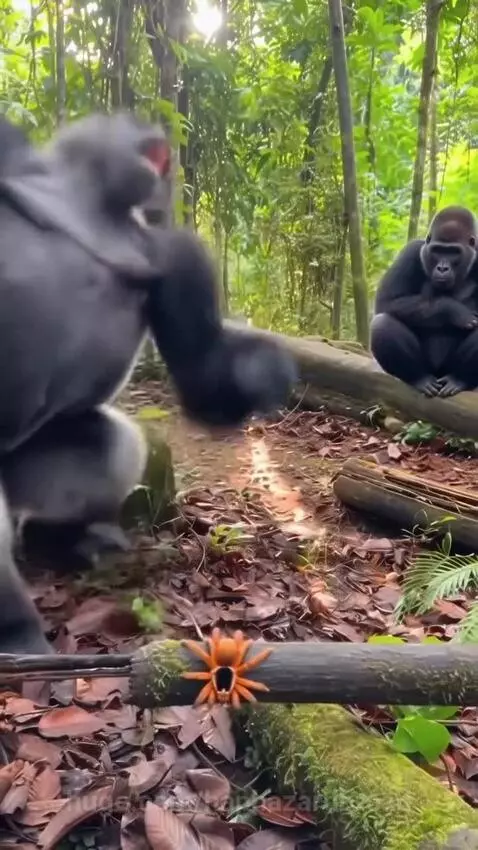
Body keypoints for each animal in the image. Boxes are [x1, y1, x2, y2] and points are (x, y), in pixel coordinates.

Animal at [0, 112, 297, 654]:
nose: (158, 137)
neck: (86, 203)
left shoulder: (175, 253)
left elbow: (201, 366)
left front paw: (260, 373)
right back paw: (18, 631)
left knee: (109, 445)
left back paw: (55, 543)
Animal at [370, 206, 478, 398]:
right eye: (437, 250)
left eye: (454, 252)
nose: (442, 268)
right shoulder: (411, 251)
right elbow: (387, 301)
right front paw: (453, 309)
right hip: (429, 371)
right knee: (382, 323)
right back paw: (418, 377)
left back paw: (459, 378)